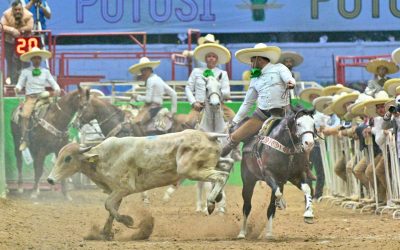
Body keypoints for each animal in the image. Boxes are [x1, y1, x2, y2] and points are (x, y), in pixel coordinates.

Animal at [47, 130, 231, 239]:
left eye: (68, 158)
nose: (50, 179)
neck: (102, 157)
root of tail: (208, 135)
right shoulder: (116, 191)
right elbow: (111, 209)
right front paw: (105, 233)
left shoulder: (124, 188)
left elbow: (108, 205)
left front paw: (128, 221)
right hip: (205, 167)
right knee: (225, 169)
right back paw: (217, 198)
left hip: (190, 170)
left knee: (222, 176)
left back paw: (211, 203)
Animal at [234, 108, 316, 240]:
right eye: (298, 124)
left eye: (313, 124)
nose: (309, 143)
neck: (287, 150)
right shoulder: (269, 175)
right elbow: (277, 193)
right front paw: (282, 203)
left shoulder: (296, 175)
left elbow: (307, 189)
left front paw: (308, 214)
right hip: (248, 181)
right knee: (247, 206)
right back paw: (242, 233)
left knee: (270, 208)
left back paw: (269, 233)